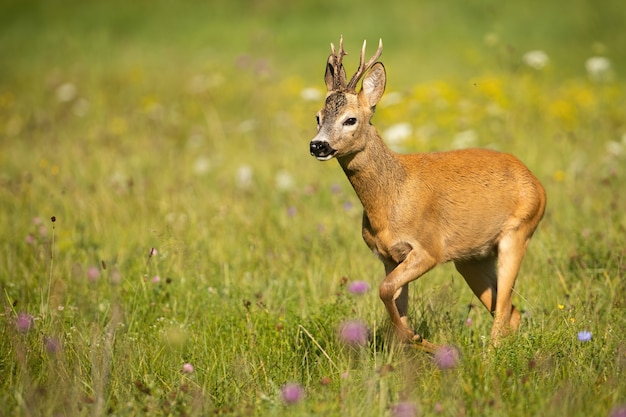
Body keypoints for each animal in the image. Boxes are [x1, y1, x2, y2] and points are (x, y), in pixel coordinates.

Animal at [310, 37, 544, 346]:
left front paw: (419, 339)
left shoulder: (429, 248)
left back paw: (490, 352)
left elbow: (384, 290)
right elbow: (394, 301)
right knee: (510, 311)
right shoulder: (388, 256)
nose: (318, 145)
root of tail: (537, 183)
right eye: (317, 116)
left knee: (505, 307)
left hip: (518, 232)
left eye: (350, 119)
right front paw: (406, 346)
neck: (390, 199)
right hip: (472, 258)